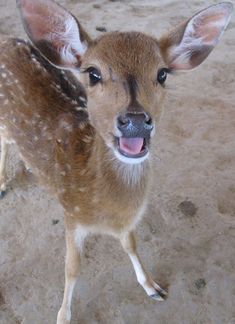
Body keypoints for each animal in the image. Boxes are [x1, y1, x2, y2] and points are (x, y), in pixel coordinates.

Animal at [0, 0, 232, 322]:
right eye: (93, 73)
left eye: (162, 73)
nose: (135, 120)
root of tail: (9, 40)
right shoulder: (71, 214)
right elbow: (71, 269)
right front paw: (62, 315)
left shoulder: (126, 222)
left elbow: (130, 244)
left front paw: (152, 287)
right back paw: (3, 183)